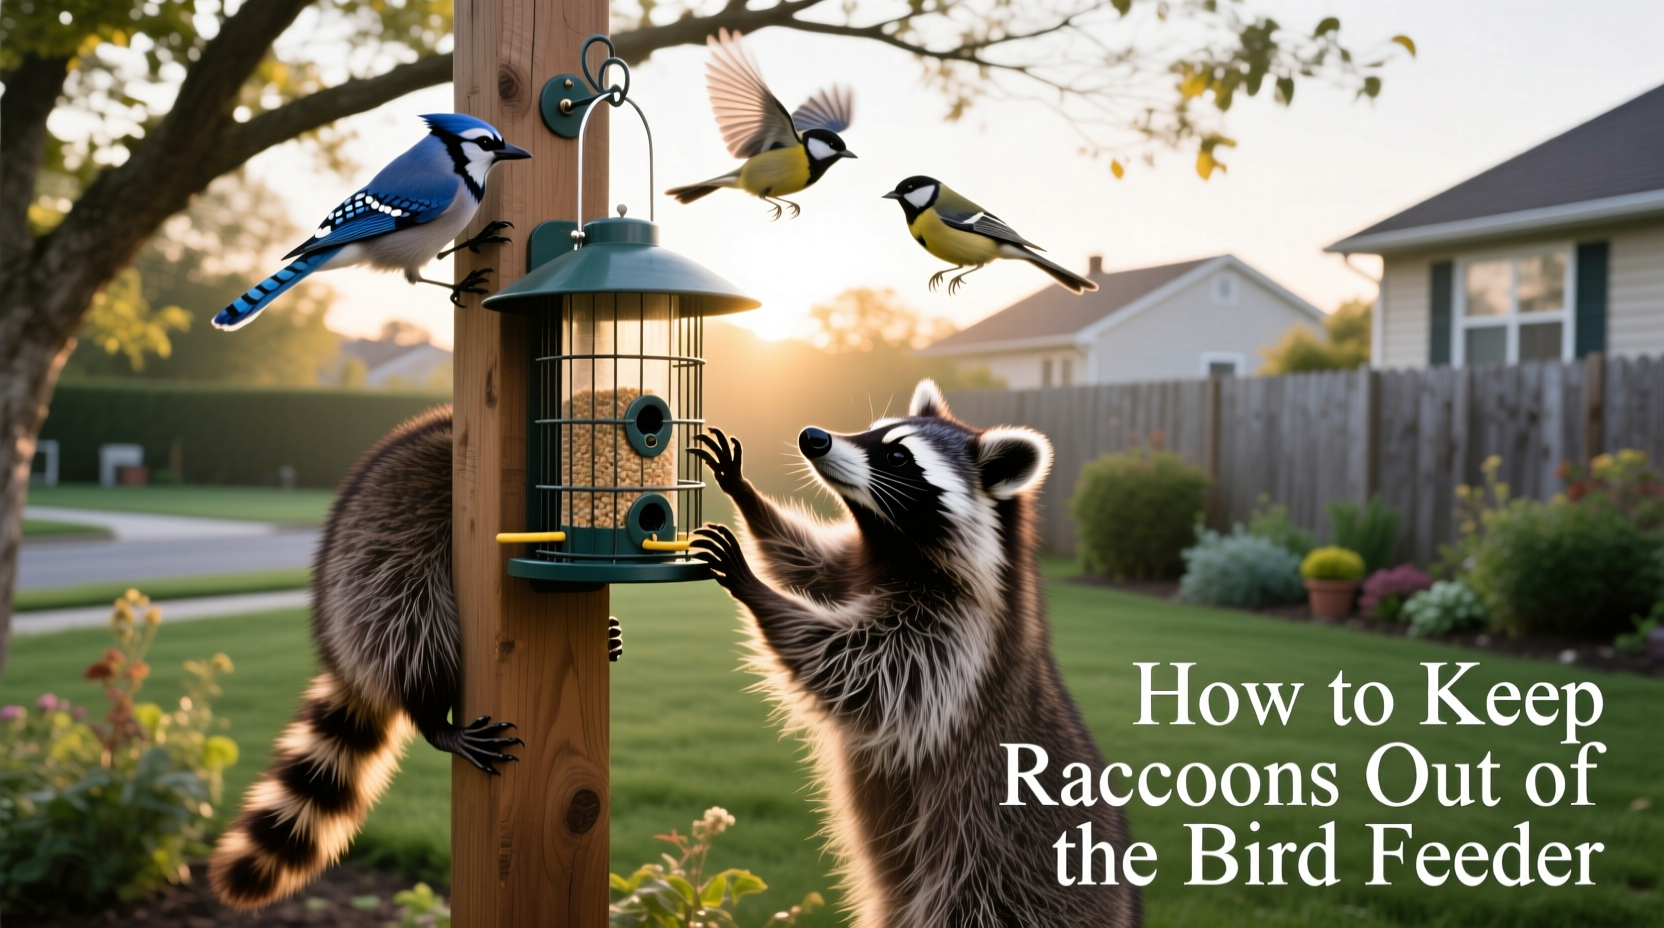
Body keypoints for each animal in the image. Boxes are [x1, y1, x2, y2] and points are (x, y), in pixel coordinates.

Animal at [688, 380, 1140, 928]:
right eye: (871, 431)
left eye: (898, 456)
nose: (814, 436)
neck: (893, 544)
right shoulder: (860, 564)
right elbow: (809, 563)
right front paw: (746, 495)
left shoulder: (958, 635)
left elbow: (862, 669)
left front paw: (754, 588)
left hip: (990, 878)